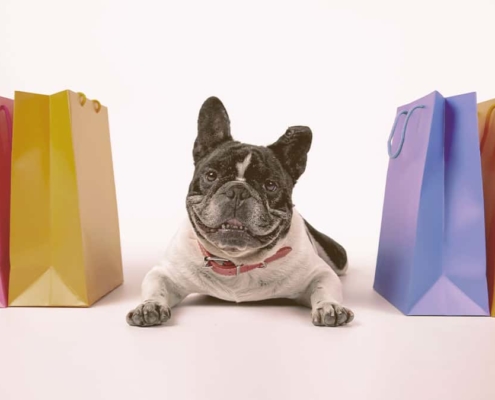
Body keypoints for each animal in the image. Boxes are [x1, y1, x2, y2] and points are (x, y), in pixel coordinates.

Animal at [127, 97, 352, 328]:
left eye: (270, 185)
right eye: (211, 175)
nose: (238, 190)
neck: (236, 262)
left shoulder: (320, 273)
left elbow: (324, 287)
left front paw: (330, 306)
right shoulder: (166, 273)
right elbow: (156, 286)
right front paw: (149, 306)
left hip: (338, 258)